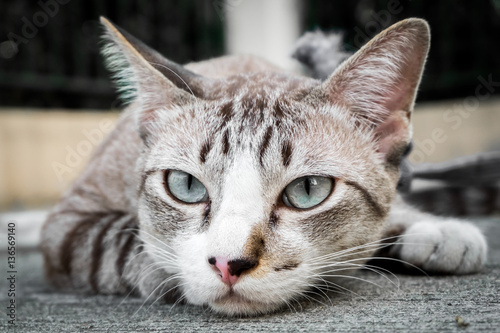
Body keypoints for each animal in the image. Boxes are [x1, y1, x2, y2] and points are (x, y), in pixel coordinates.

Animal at [41, 16, 486, 316]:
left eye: (308, 191)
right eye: (185, 186)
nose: (228, 265)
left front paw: (434, 229)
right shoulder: (68, 225)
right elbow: (123, 242)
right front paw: (168, 274)